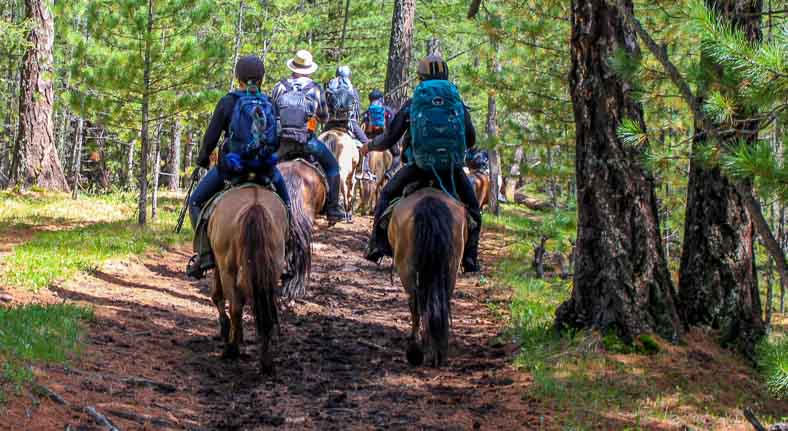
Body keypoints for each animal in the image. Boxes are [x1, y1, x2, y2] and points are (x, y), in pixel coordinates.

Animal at [388, 189, 468, 368]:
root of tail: (430, 200)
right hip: (451, 267)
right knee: (441, 299)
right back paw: (437, 351)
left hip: (406, 267)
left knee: (415, 302)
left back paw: (415, 350)